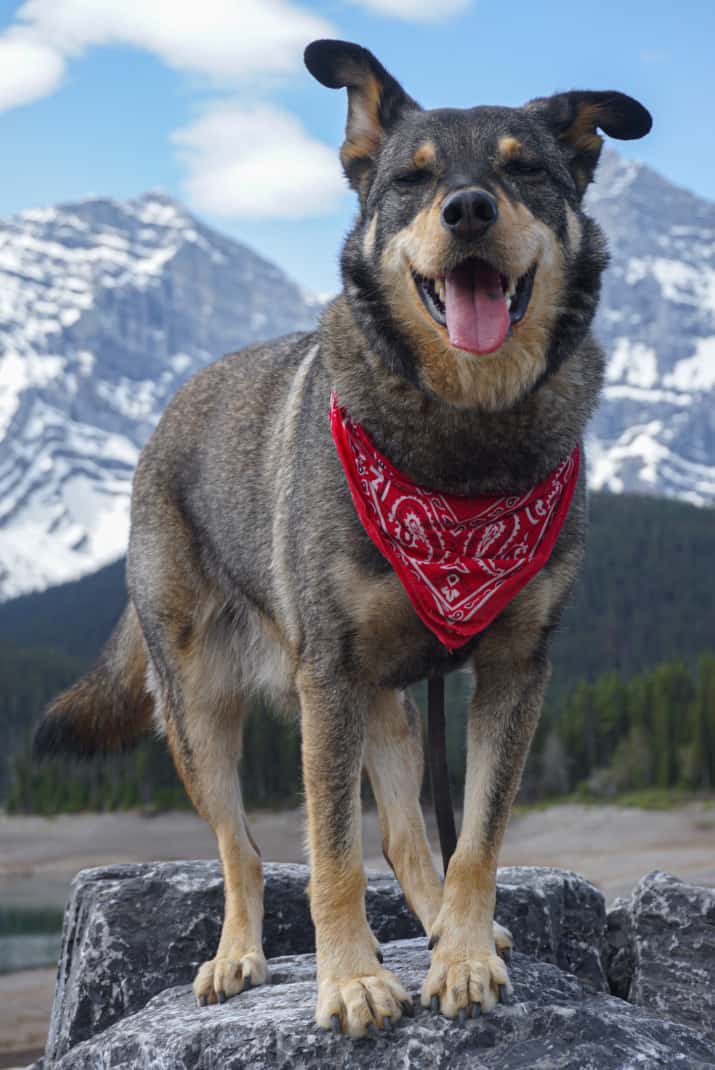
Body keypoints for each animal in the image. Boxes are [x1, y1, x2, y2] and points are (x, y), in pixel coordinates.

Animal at [37, 41, 655, 1035]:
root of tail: (167, 418)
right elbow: (330, 856)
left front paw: (464, 951)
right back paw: (237, 954)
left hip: (389, 703)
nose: (469, 209)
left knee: (405, 834)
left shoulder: (516, 667)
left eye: (524, 168)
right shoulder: (326, 674)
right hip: (203, 705)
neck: (461, 442)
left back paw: (438, 924)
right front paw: (352, 979)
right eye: (412, 178)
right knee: (242, 848)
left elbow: (473, 839)